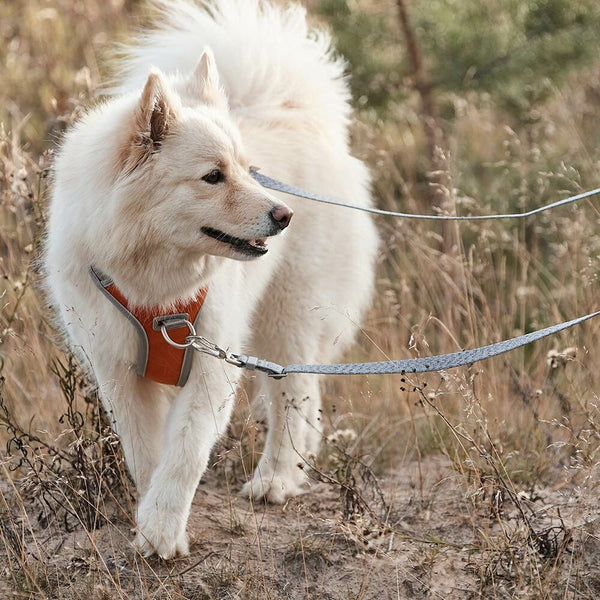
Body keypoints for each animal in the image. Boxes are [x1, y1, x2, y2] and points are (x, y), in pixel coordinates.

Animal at [44, 0, 378, 560]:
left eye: (247, 170)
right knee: (301, 394)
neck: (155, 288)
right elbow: (146, 455)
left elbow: (185, 452)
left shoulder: (210, 365)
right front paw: (153, 521)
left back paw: (276, 478)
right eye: (213, 177)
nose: (285, 215)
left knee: (294, 395)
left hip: (289, 315)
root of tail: (293, 109)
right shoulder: (119, 373)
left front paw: (161, 530)